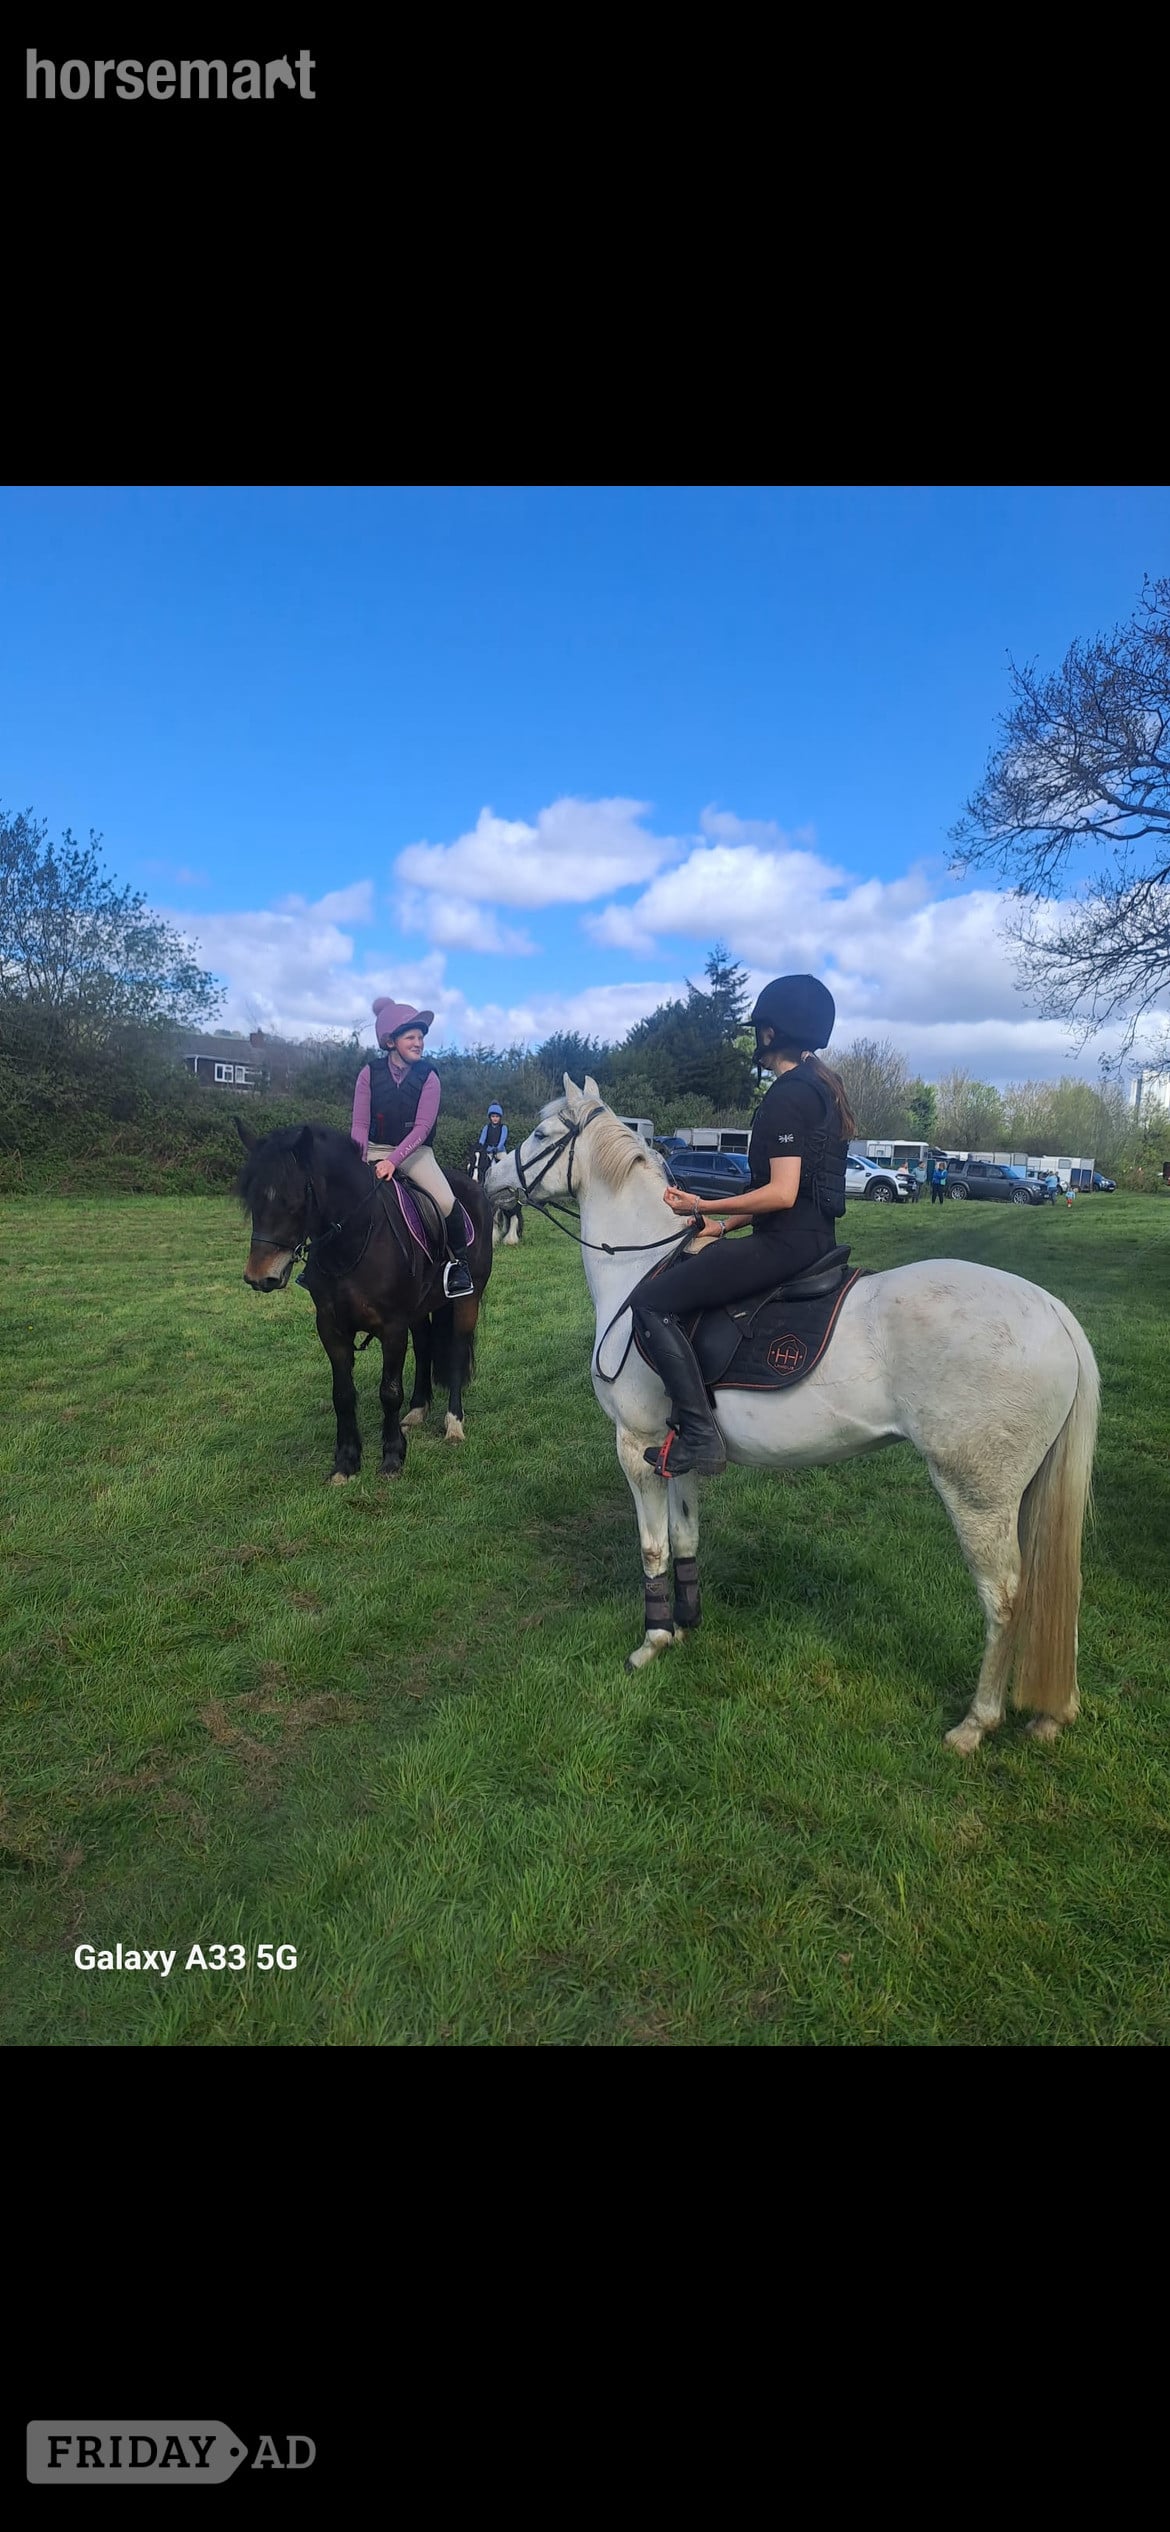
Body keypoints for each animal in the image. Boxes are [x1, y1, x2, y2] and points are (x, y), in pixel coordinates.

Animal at [236, 1121, 494, 1480]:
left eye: (294, 1199)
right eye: (250, 1198)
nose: (259, 1277)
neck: (356, 1237)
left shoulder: (392, 1328)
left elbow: (389, 1392)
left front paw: (392, 1457)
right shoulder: (331, 1328)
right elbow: (343, 1395)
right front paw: (345, 1462)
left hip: (467, 1299)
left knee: (456, 1348)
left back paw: (453, 1424)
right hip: (420, 1308)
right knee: (425, 1345)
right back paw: (417, 1410)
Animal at [490, 1077, 1100, 1752]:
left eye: (541, 1134)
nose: (489, 1177)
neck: (635, 1272)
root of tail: (1049, 1309)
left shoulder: (636, 1444)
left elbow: (652, 1548)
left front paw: (652, 1642)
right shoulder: (678, 1451)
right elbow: (685, 1536)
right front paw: (686, 1625)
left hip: (977, 1492)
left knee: (1006, 1598)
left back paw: (975, 1723)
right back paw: (1052, 1712)